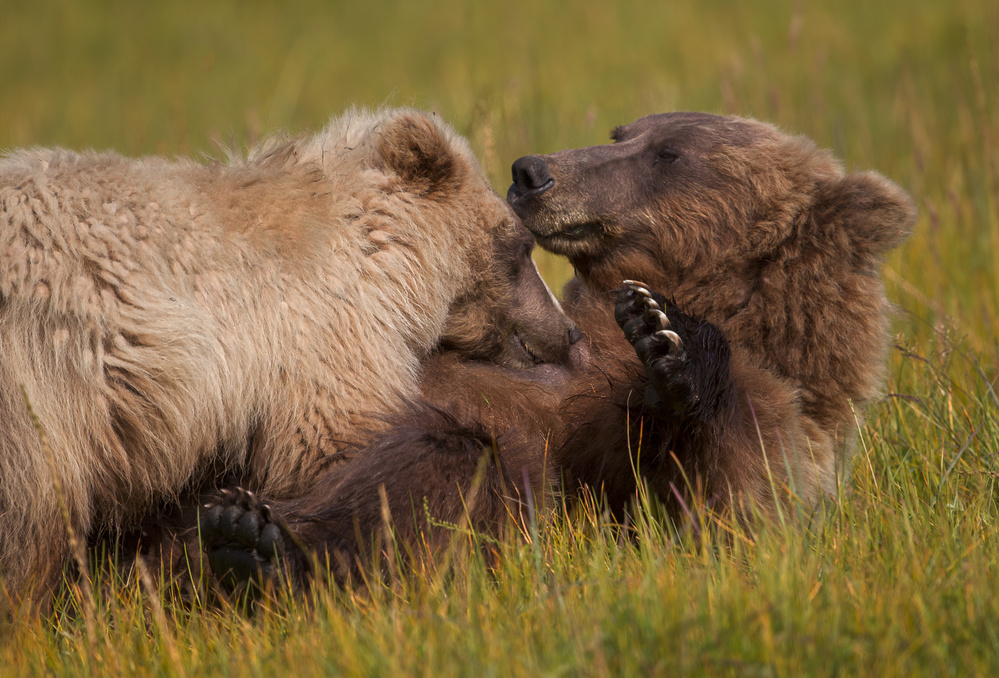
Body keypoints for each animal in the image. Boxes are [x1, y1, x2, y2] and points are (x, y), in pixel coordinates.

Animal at [201, 111, 916, 588]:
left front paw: (667, 339)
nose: (532, 171)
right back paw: (248, 537)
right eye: (622, 133)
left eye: (670, 154)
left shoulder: (787, 415)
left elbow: (720, 501)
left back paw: (254, 544)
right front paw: (654, 325)